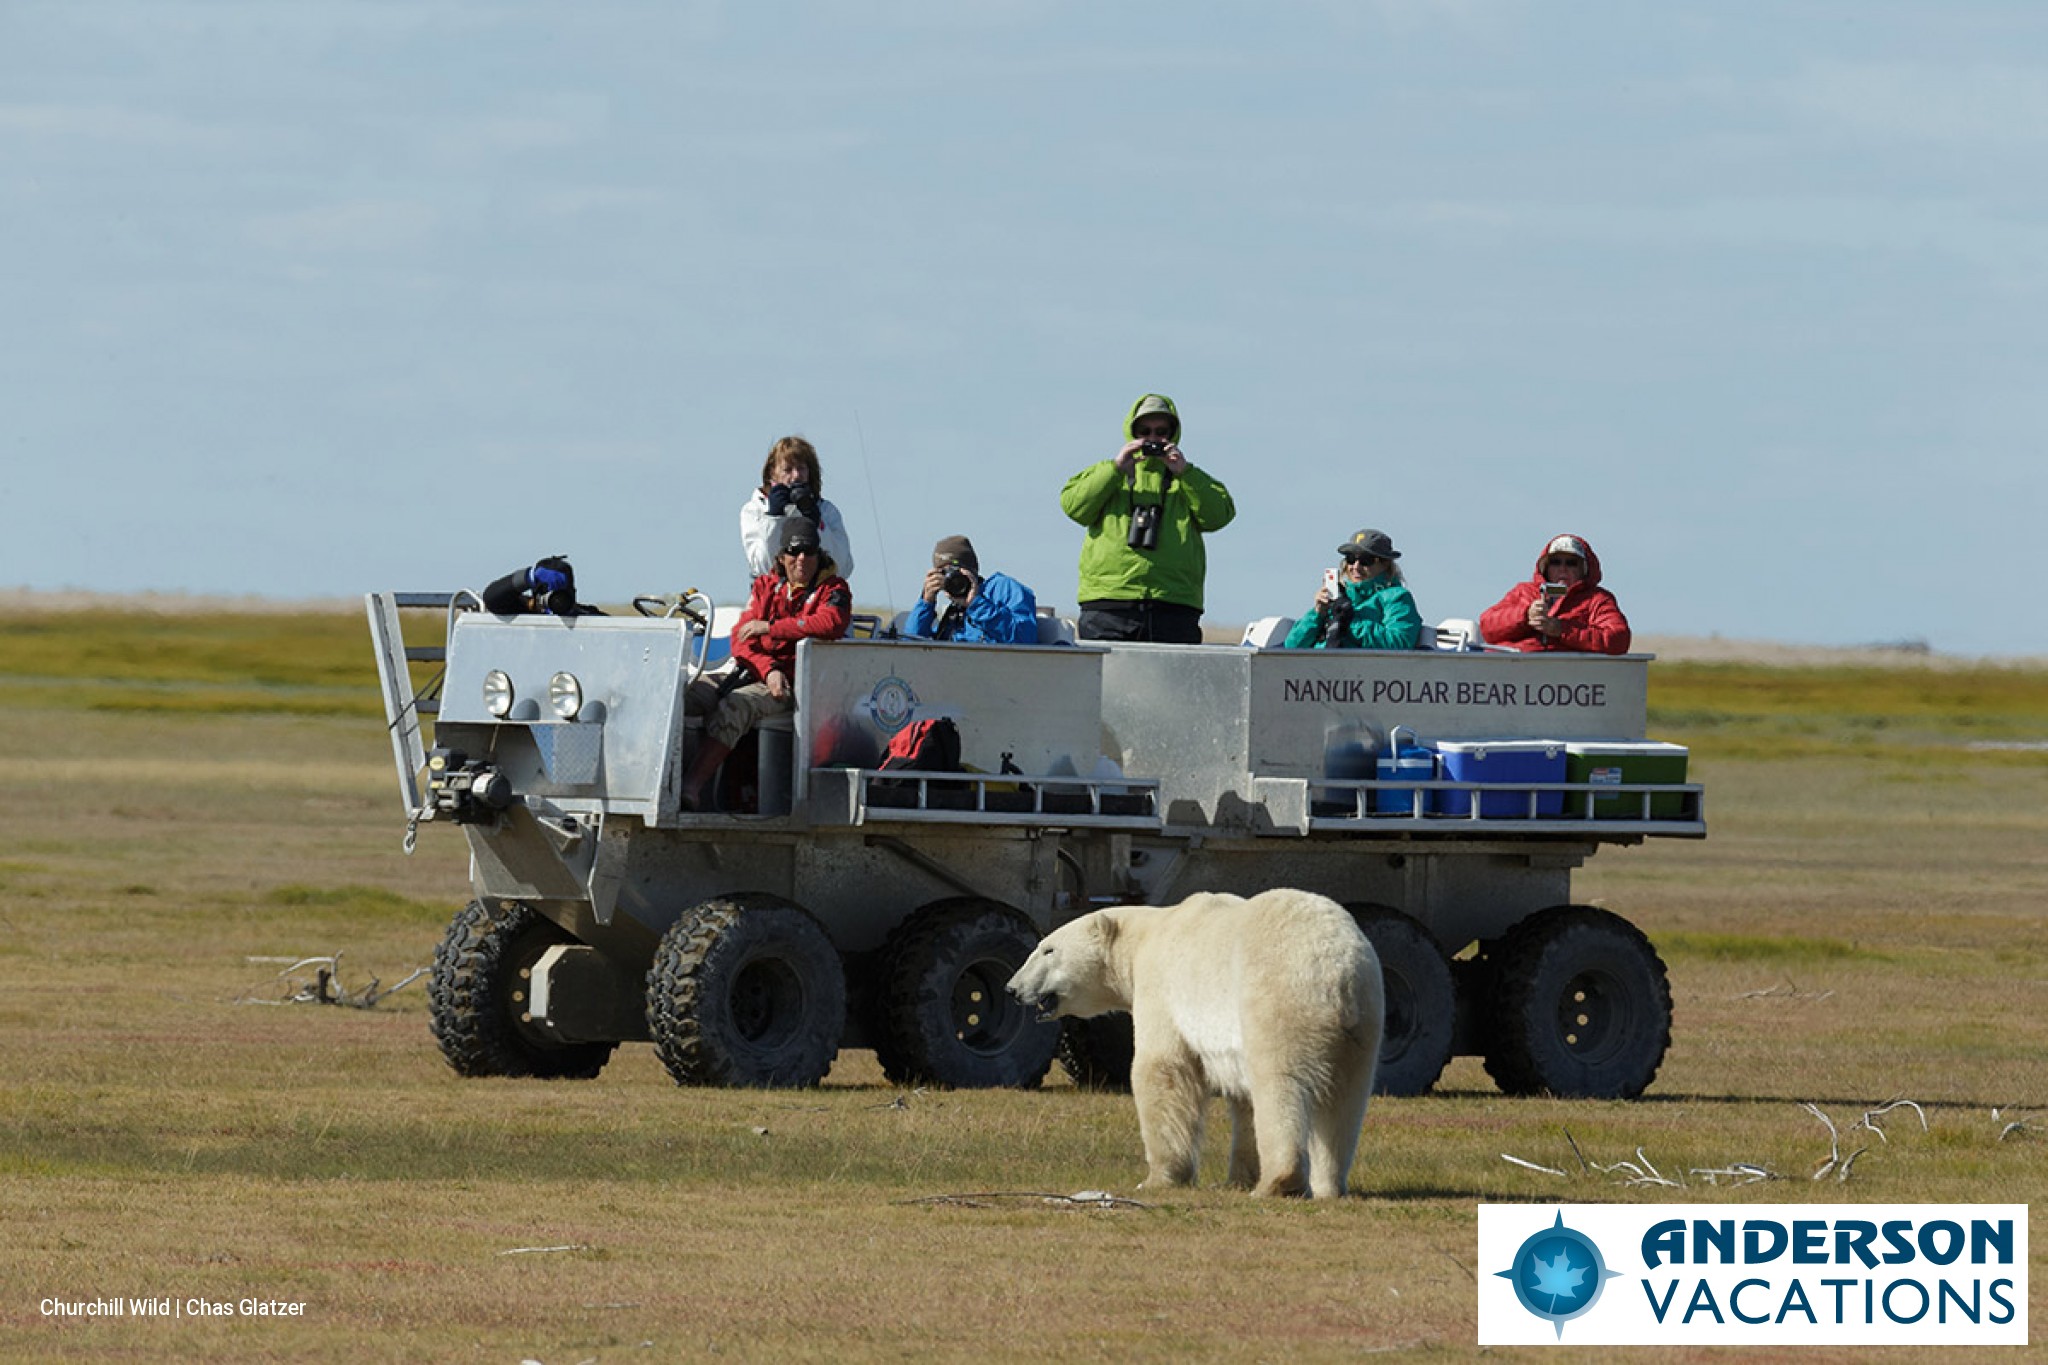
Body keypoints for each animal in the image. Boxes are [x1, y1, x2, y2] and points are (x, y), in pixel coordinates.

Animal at [1003, 892, 1384, 1203]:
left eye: (1048, 948)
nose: (1012, 988)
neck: (1146, 934)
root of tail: (1336, 972)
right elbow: (1241, 1098)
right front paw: (1236, 1179)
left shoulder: (1161, 985)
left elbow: (1163, 1070)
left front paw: (1158, 1179)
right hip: (1362, 1023)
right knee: (1345, 1101)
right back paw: (1329, 1185)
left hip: (1279, 1000)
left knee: (1279, 1086)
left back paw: (1278, 1183)